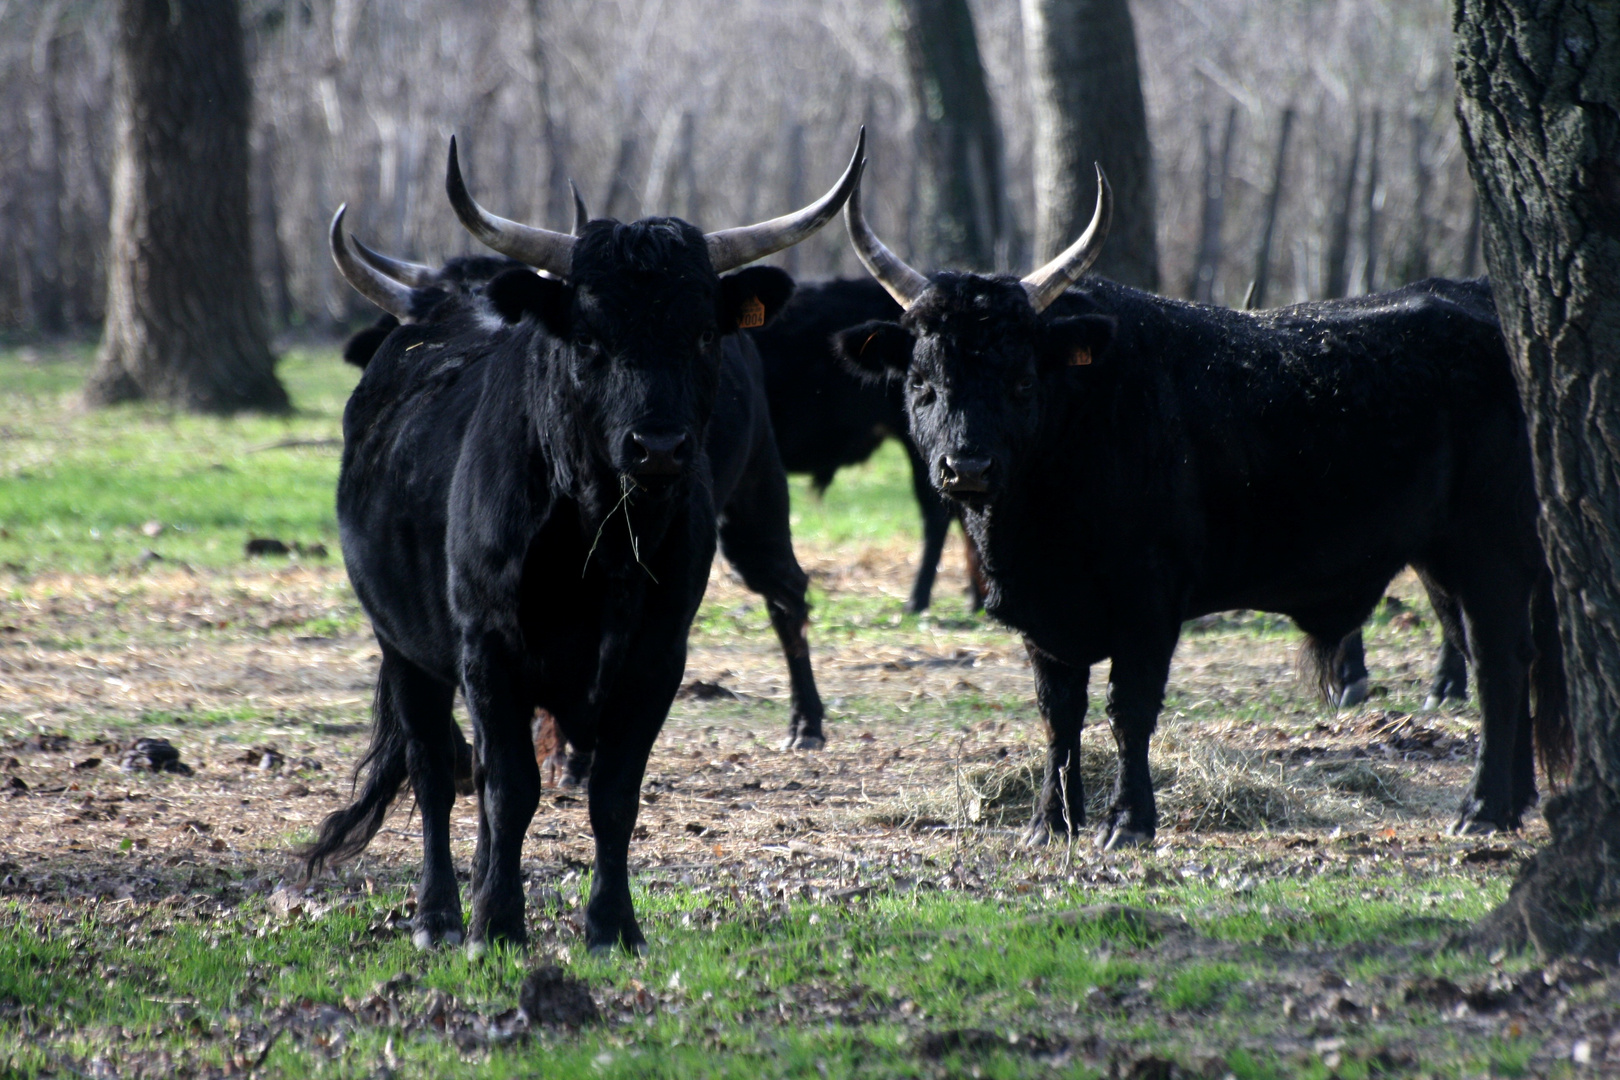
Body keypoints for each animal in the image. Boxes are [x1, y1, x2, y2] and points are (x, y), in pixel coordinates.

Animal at [302, 135, 861, 952]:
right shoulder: (487, 652)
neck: (602, 541)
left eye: (701, 331)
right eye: (591, 337)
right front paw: (497, 925)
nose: (657, 446)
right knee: (435, 773)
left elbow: (614, 794)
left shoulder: (656, 658)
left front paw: (612, 926)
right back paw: (439, 916)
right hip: (403, 648)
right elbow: (508, 790)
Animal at [835, 177, 1568, 848]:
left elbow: (1128, 708)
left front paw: (1128, 822)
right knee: (1503, 658)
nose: (967, 468)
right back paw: (1516, 799)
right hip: (1444, 563)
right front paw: (1050, 823)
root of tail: (1493, 310)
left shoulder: (1147, 598)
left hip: (1491, 551)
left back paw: (1483, 810)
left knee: (1499, 666)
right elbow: (1058, 714)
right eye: (922, 384)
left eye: (1021, 380)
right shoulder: (1044, 618)